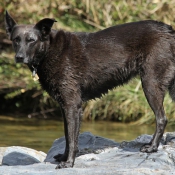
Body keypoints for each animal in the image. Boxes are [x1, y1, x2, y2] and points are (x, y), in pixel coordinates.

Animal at [4, 10, 175, 168]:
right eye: (16, 40)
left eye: (31, 40)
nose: (19, 57)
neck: (49, 50)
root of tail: (169, 30)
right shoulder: (66, 107)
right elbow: (67, 135)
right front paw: (64, 157)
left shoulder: (72, 106)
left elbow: (72, 138)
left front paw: (69, 163)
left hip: (150, 84)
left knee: (161, 118)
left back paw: (152, 147)